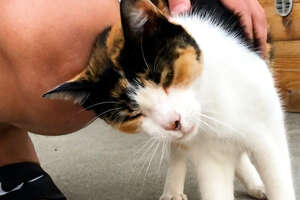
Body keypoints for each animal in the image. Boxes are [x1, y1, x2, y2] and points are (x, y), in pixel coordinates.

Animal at [42, 0, 296, 199]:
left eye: (164, 77)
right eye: (130, 114)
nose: (174, 122)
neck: (210, 101)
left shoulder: (267, 133)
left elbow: (279, 180)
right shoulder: (208, 155)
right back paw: (172, 190)